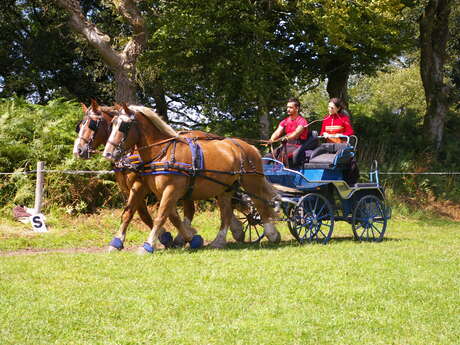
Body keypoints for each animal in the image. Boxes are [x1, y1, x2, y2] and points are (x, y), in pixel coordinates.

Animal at [101, 103, 280, 251]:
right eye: (112, 124)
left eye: (124, 126)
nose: (108, 153)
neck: (162, 153)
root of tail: (248, 146)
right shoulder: (148, 188)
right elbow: (137, 213)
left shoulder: (171, 190)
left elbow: (161, 216)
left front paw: (149, 245)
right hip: (226, 188)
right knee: (226, 213)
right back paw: (219, 241)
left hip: (252, 182)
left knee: (260, 205)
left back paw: (272, 234)